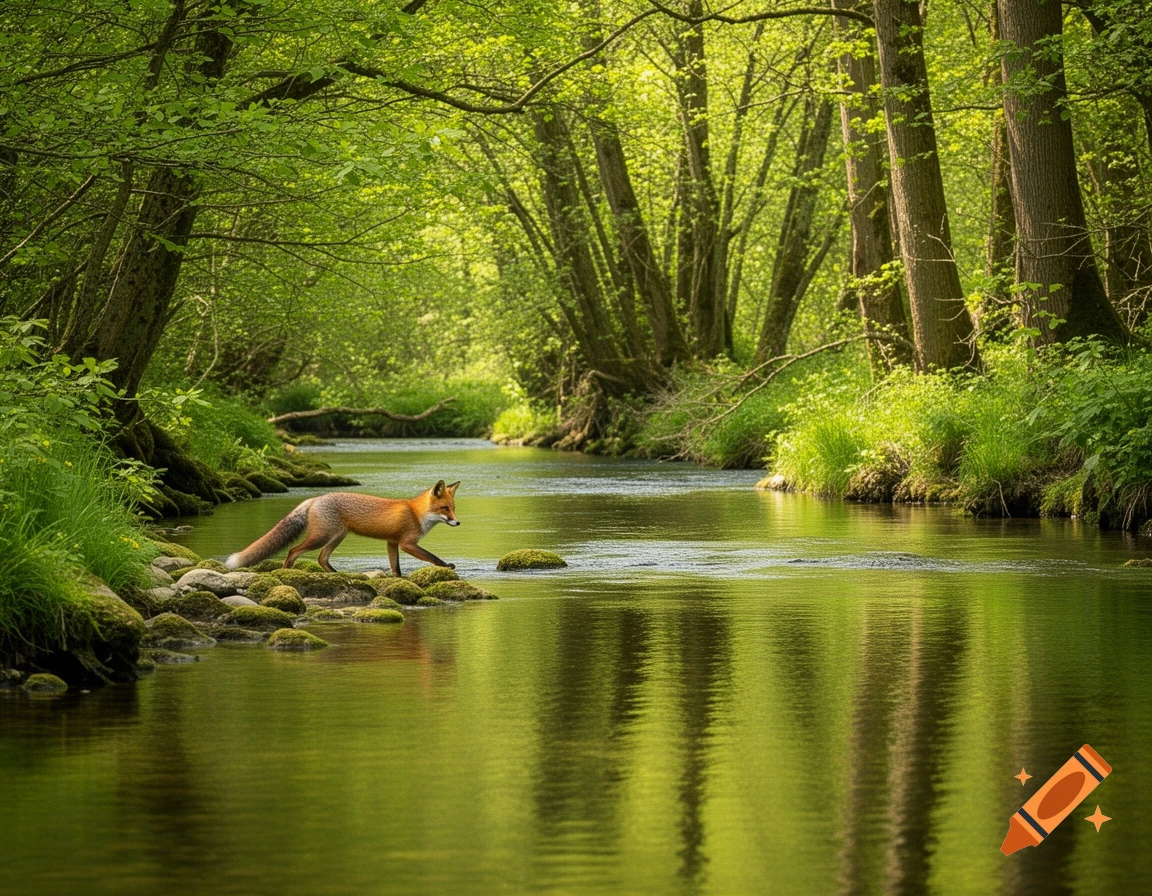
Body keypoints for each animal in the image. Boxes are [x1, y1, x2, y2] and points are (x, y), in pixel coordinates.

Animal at [225, 480, 461, 575]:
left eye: (453, 508)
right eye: (444, 508)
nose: (458, 523)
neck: (415, 513)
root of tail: (315, 498)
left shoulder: (391, 543)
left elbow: (396, 569)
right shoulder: (406, 543)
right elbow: (432, 557)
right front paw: (447, 566)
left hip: (337, 537)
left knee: (322, 558)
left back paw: (337, 575)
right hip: (322, 536)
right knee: (293, 551)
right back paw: (286, 571)